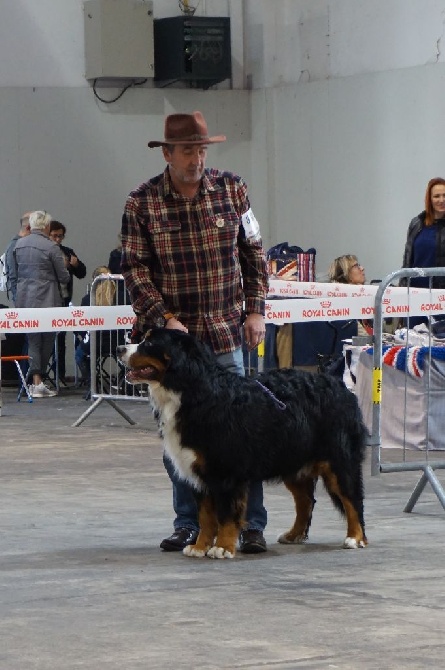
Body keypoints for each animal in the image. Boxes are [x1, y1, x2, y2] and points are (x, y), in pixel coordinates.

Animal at [116, 328, 366, 560]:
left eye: (150, 343)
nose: (119, 348)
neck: (194, 391)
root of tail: (340, 386)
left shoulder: (226, 471)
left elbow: (227, 514)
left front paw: (222, 547)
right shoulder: (199, 471)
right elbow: (205, 517)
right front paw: (199, 547)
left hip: (338, 460)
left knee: (352, 498)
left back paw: (355, 538)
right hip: (293, 460)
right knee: (306, 501)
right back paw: (294, 534)